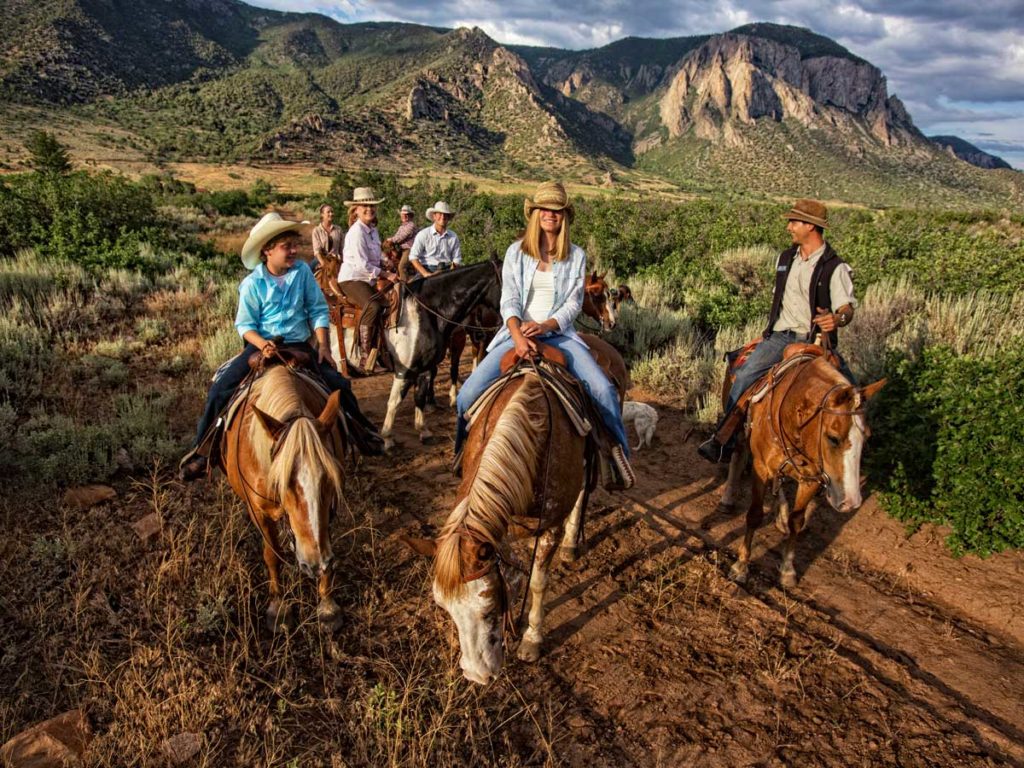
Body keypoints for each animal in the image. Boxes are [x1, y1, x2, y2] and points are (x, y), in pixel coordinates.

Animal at [220, 364, 348, 634]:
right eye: (281, 482)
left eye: (329, 478)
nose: (314, 564)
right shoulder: (258, 511)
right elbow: (272, 554)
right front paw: (278, 607)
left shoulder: (327, 510)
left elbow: (325, 541)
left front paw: (327, 605)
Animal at [716, 348, 884, 589]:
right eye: (833, 438)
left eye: (867, 436)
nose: (851, 503)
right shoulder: (761, 467)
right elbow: (754, 515)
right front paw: (741, 566)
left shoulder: (811, 479)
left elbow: (797, 521)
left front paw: (787, 570)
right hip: (739, 433)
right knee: (738, 457)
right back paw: (727, 500)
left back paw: (781, 516)